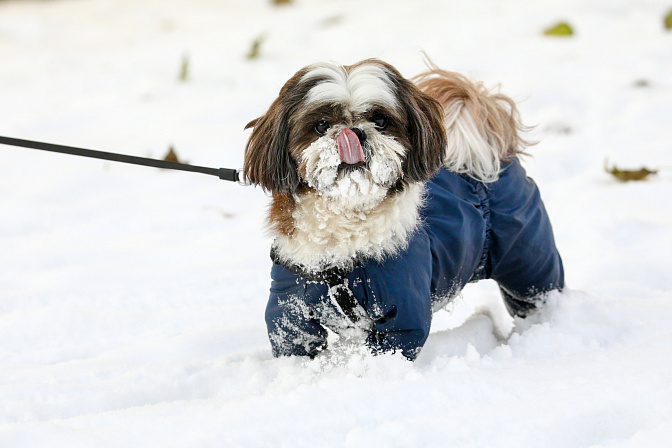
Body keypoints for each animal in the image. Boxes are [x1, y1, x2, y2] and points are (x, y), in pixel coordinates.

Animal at [242, 59, 560, 360]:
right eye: (321, 125)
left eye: (380, 120)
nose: (354, 133)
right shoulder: (290, 309)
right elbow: (295, 344)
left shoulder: (402, 308)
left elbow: (392, 348)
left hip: (526, 257)